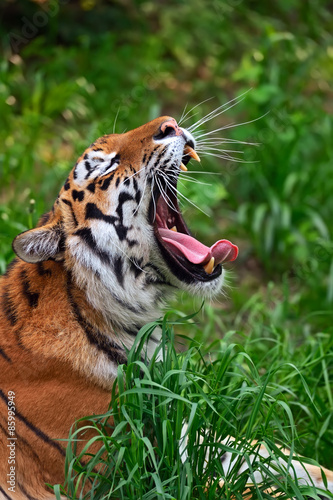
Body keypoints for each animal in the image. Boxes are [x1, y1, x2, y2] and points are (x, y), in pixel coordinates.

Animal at [0, 115, 330, 498]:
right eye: (106, 166)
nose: (170, 124)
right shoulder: (128, 474)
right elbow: (249, 487)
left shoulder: (182, 431)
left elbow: (273, 456)